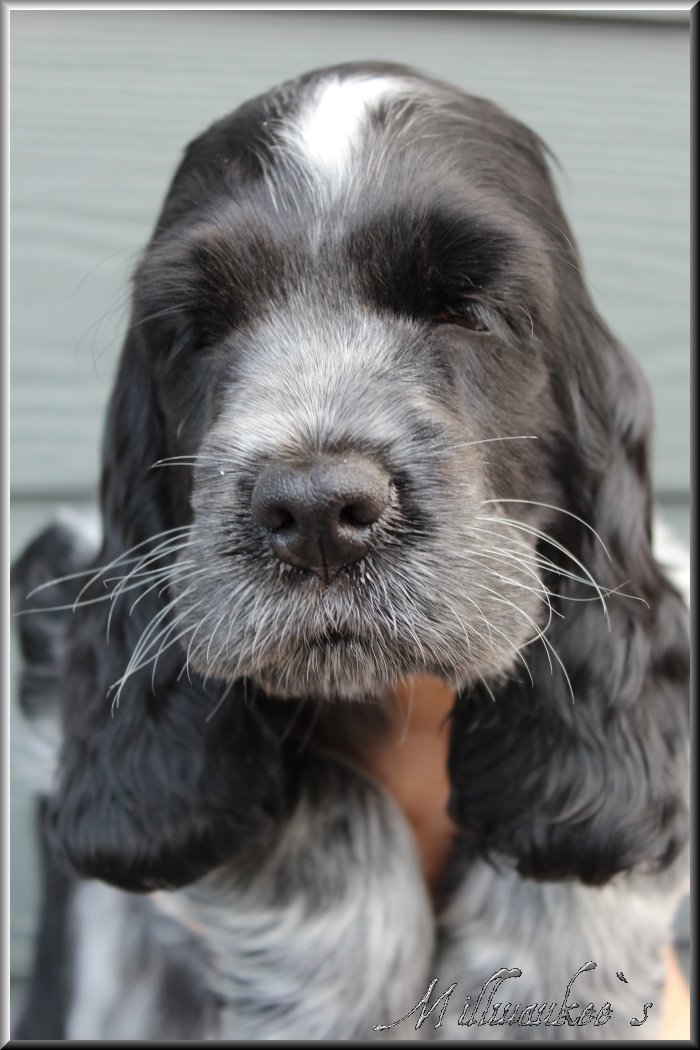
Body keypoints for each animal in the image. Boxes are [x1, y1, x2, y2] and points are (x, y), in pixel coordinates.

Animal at [12, 61, 689, 1040]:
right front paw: (339, 998)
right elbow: (304, 802)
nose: (317, 512)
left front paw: (548, 992)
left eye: (468, 310)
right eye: (198, 331)